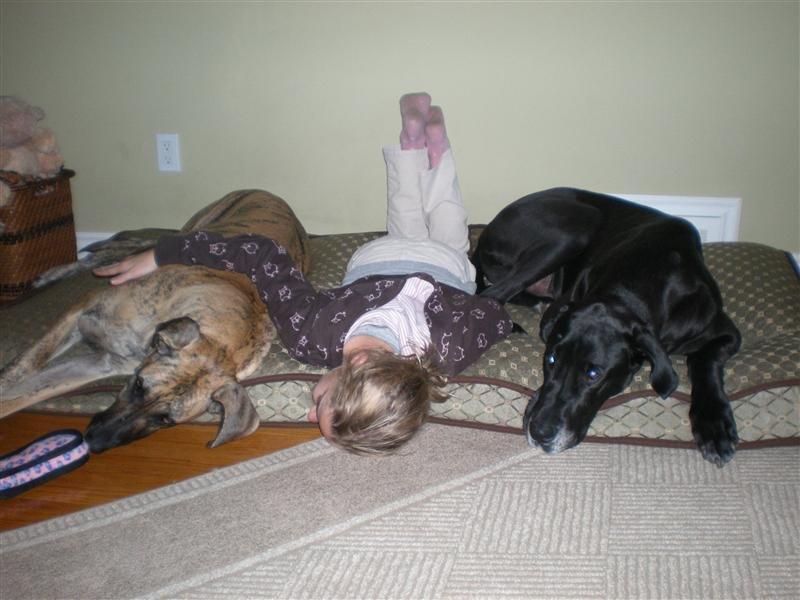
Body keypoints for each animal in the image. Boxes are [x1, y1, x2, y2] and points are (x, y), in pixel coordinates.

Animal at [0, 189, 310, 452]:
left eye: (165, 420)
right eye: (138, 385)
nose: (93, 442)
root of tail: (271, 195)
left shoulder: (98, 364)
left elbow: (25, 394)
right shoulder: (80, 310)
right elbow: (22, 367)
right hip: (193, 228)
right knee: (118, 252)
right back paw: (54, 273)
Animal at [472, 187, 741, 466]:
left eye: (594, 374)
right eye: (552, 359)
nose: (540, 432)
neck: (637, 284)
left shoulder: (725, 331)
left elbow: (703, 361)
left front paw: (714, 426)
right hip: (578, 227)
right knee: (490, 294)